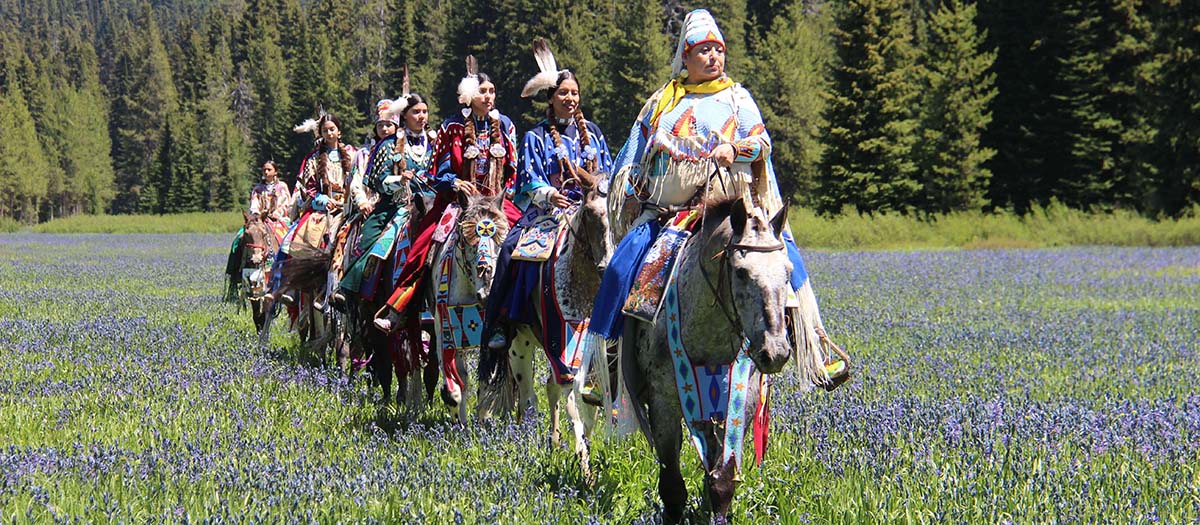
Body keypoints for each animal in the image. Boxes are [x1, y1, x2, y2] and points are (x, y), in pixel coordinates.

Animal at [427, 195, 511, 424]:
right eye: (467, 241)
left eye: (502, 240)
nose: (488, 292)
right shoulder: (446, 331)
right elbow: (455, 386)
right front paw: (461, 424)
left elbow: (487, 380)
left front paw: (483, 419)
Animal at [624, 198, 801, 522]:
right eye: (741, 272)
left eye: (787, 271)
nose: (776, 351)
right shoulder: (663, 403)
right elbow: (672, 486)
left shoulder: (741, 399)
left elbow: (722, 480)